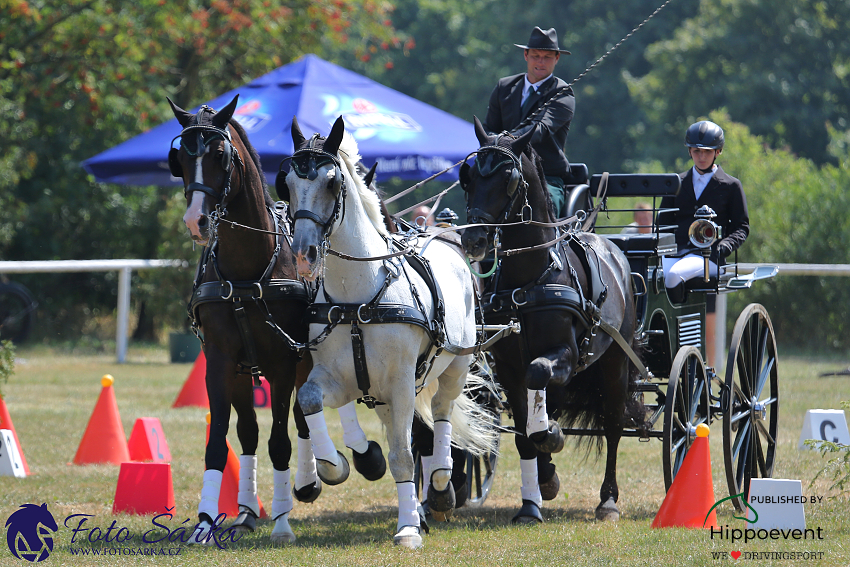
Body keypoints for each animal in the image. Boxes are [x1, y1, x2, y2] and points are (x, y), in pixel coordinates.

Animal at [166, 97, 384, 544]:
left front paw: (282, 520)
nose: (196, 221)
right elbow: (226, 439)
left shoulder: (284, 360)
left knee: (303, 419)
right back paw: (254, 508)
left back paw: (323, 472)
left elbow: (281, 439)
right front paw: (207, 521)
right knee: (262, 428)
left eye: (218, 154)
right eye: (180, 159)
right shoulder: (222, 363)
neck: (247, 272)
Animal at [282, 116, 496, 552]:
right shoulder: (340, 380)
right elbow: (308, 401)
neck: (358, 297)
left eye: (332, 183)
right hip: (382, 394)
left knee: (443, 412)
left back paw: (441, 485)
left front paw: (408, 529)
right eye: (287, 184)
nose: (303, 255)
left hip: (455, 365)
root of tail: (444, 235)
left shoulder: (400, 382)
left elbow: (402, 454)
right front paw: (332, 465)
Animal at [460, 116, 640, 524]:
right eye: (469, 176)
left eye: (508, 177)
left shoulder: (567, 355)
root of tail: (614, 250)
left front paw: (553, 437)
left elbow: (539, 377)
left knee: (613, 424)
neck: (530, 280)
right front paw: (536, 495)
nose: (474, 240)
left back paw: (608, 500)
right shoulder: (509, 367)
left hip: (614, 362)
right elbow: (524, 432)